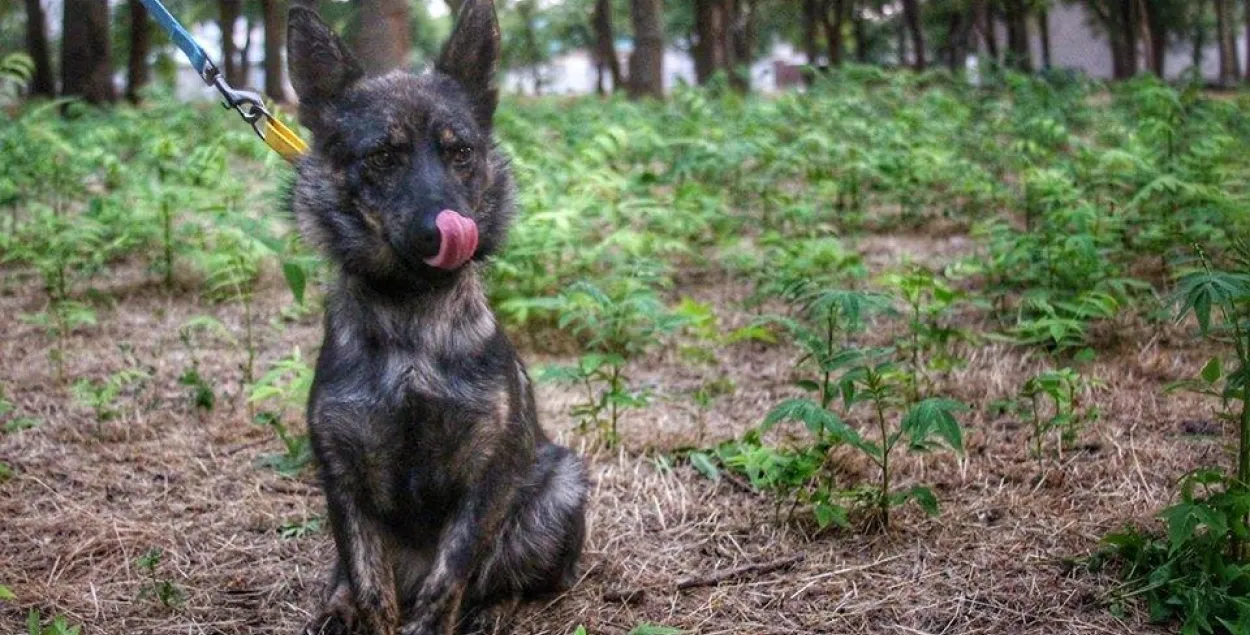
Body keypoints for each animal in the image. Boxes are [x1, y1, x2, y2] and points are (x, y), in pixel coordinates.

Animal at [287, 2, 590, 632]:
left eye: (461, 153)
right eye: (383, 157)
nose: (447, 229)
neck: (413, 318)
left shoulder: (488, 473)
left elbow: (450, 578)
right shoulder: (342, 477)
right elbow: (370, 584)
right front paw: (361, 609)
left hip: (558, 488)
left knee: (507, 578)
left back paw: (494, 609)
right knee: (343, 575)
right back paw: (335, 609)